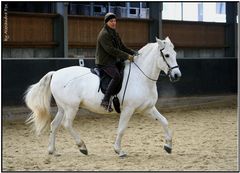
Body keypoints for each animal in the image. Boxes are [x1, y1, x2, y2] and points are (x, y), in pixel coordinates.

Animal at [24, 37, 182, 157]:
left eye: (175, 54)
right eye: (167, 55)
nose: (177, 75)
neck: (141, 77)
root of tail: (56, 73)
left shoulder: (147, 108)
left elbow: (164, 121)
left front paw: (168, 146)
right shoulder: (128, 109)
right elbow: (121, 129)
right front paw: (119, 151)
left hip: (63, 108)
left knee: (54, 125)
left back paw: (52, 150)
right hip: (71, 107)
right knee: (66, 124)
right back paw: (82, 147)